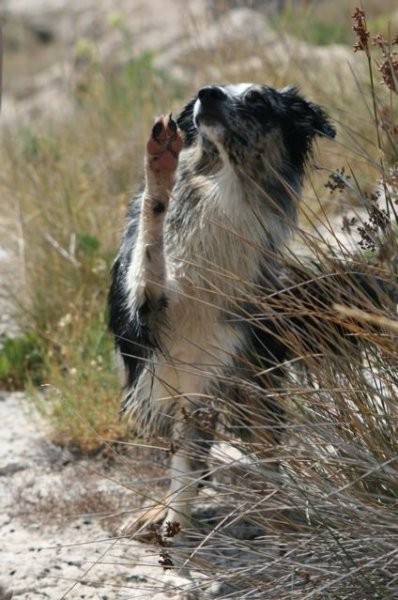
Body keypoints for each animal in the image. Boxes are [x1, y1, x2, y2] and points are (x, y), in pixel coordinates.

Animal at [107, 83, 338, 536]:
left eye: (257, 99)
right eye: (210, 90)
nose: (207, 93)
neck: (221, 186)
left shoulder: (216, 370)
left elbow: (192, 467)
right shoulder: (145, 310)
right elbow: (150, 242)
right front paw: (160, 166)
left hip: (249, 381)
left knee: (257, 452)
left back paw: (276, 512)